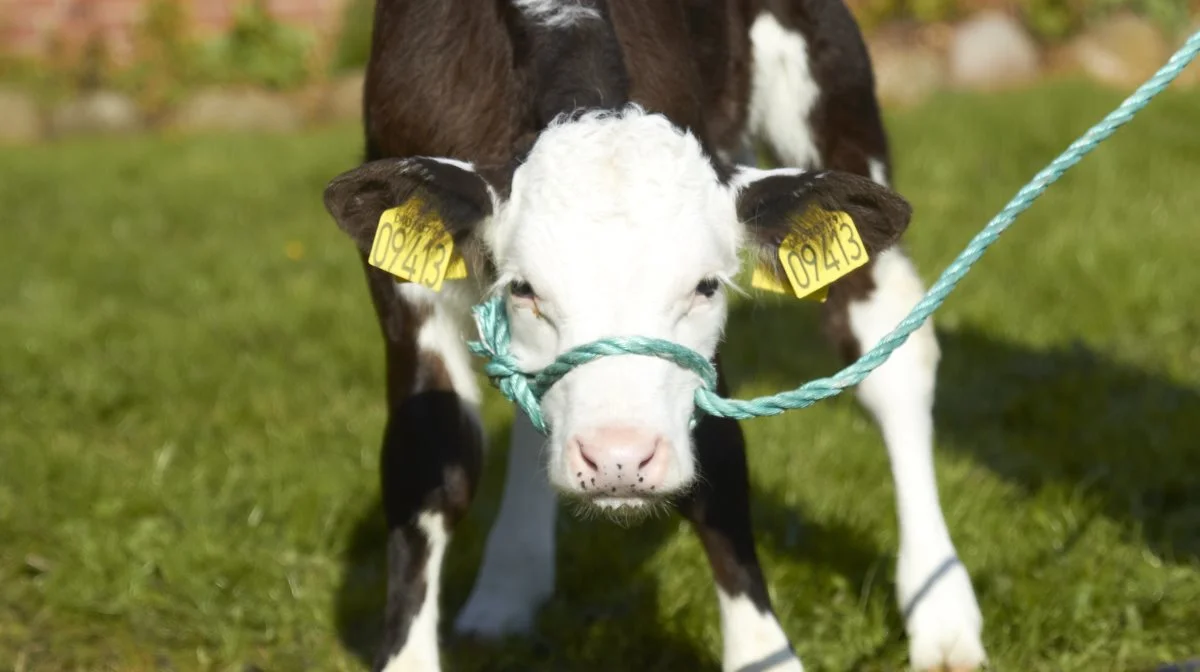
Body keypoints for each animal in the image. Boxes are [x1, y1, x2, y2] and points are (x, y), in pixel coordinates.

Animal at [321, 2, 984, 667]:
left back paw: (944, 619)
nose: (619, 458)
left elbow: (720, 460)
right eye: (524, 288)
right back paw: (508, 588)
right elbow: (432, 462)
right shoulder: (405, 291)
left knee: (893, 353)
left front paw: (761, 650)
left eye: (706, 286)